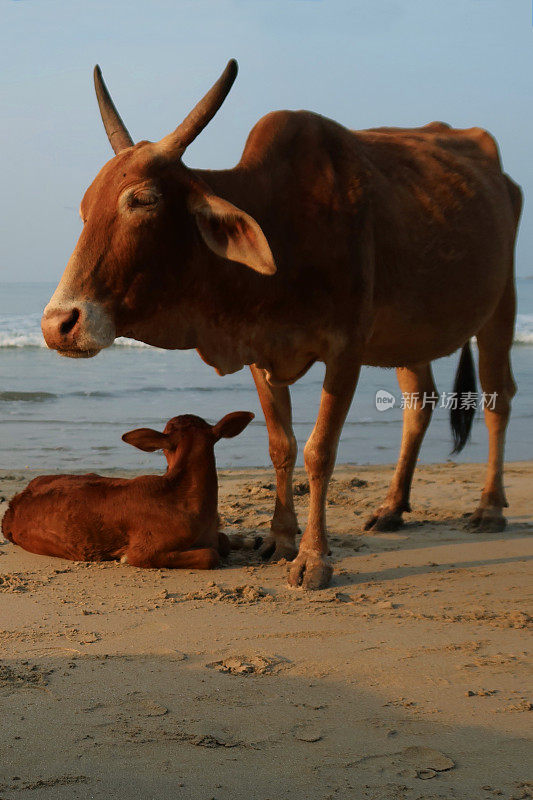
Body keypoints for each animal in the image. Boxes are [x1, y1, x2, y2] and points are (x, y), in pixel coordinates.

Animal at [40, 61, 520, 588]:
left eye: (142, 200)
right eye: (85, 208)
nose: (58, 324)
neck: (287, 222)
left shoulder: (346, 349)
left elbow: (319, 450)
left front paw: (313, 558)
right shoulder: (259, 350)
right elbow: (280, 445)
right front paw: (281, 539)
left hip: (501, 305)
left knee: (498, 398)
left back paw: (490, 508)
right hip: (411, 336)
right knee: (420, 403)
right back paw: (392, 508)